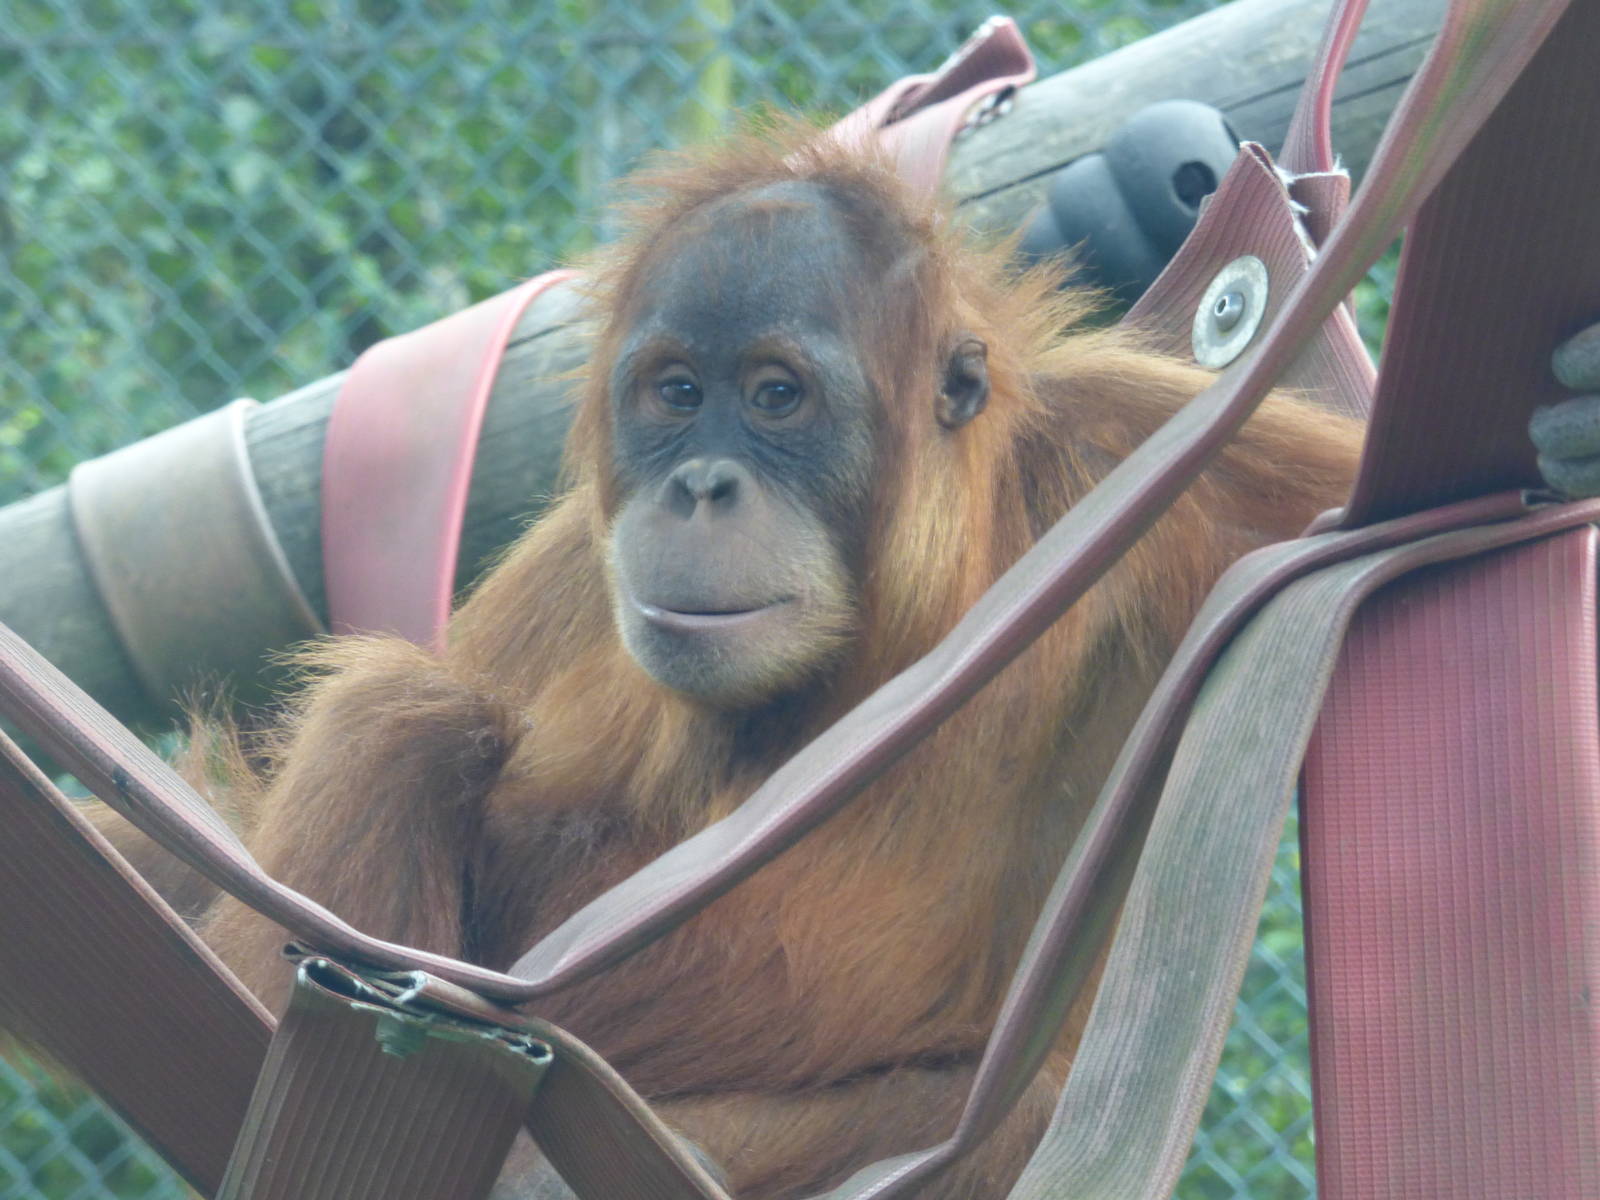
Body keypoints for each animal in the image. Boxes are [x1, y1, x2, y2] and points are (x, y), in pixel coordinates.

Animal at [68, 126, 1600, 1198]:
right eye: (675, 392)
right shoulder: (574, 567)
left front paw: (1574, 406)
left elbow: (1389, 509)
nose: (699, 487)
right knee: (406, 713)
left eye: (776, 396)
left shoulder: (1168, 463)